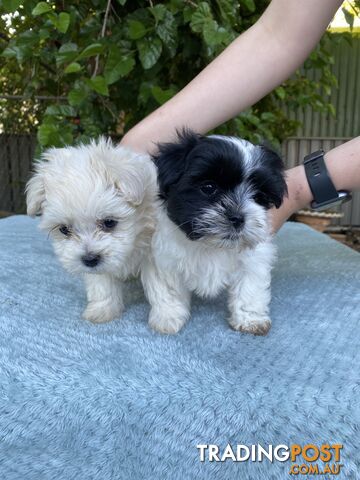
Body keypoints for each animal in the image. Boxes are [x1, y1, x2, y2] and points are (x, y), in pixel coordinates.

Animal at [26, 139, 156, 326]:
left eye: (109, 222)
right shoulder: (98, 269)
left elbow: (159, 286)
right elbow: (102, 286)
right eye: (64, 229)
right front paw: (102, 311)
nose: (89, 259)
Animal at [141, 129, 286, 336]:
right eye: (209, 188)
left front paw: (250, 319)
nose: (237, 217)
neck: (211, 245)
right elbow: (169, 289)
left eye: (259, 197)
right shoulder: (164, 258)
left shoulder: (253, 261)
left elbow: (250, 288)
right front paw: (168, 317)